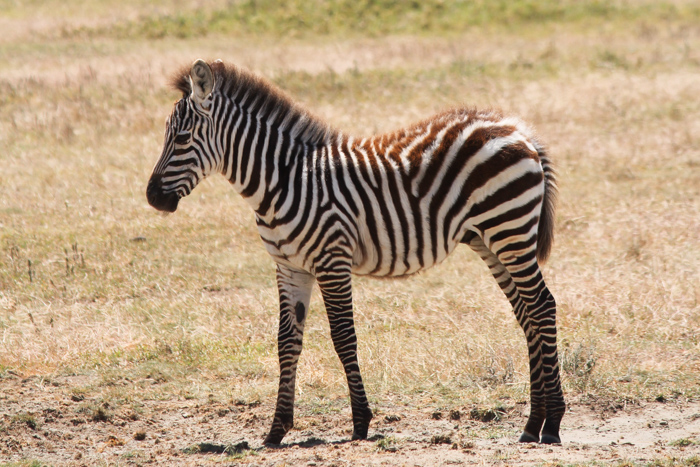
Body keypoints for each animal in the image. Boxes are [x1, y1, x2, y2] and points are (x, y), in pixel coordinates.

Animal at [146, 59, 564, 446]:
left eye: (181, 138)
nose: (152, 198)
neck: (284, 181)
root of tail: (516, 128)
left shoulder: (332, 260)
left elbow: (343, 337)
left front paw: (361, 422)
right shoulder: (289, 267)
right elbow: (287, 341)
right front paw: (277, 429)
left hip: (508, 228)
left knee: (543, 305)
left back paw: (553, 423)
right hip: (489, 238)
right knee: (527, 313)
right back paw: (532, 424)